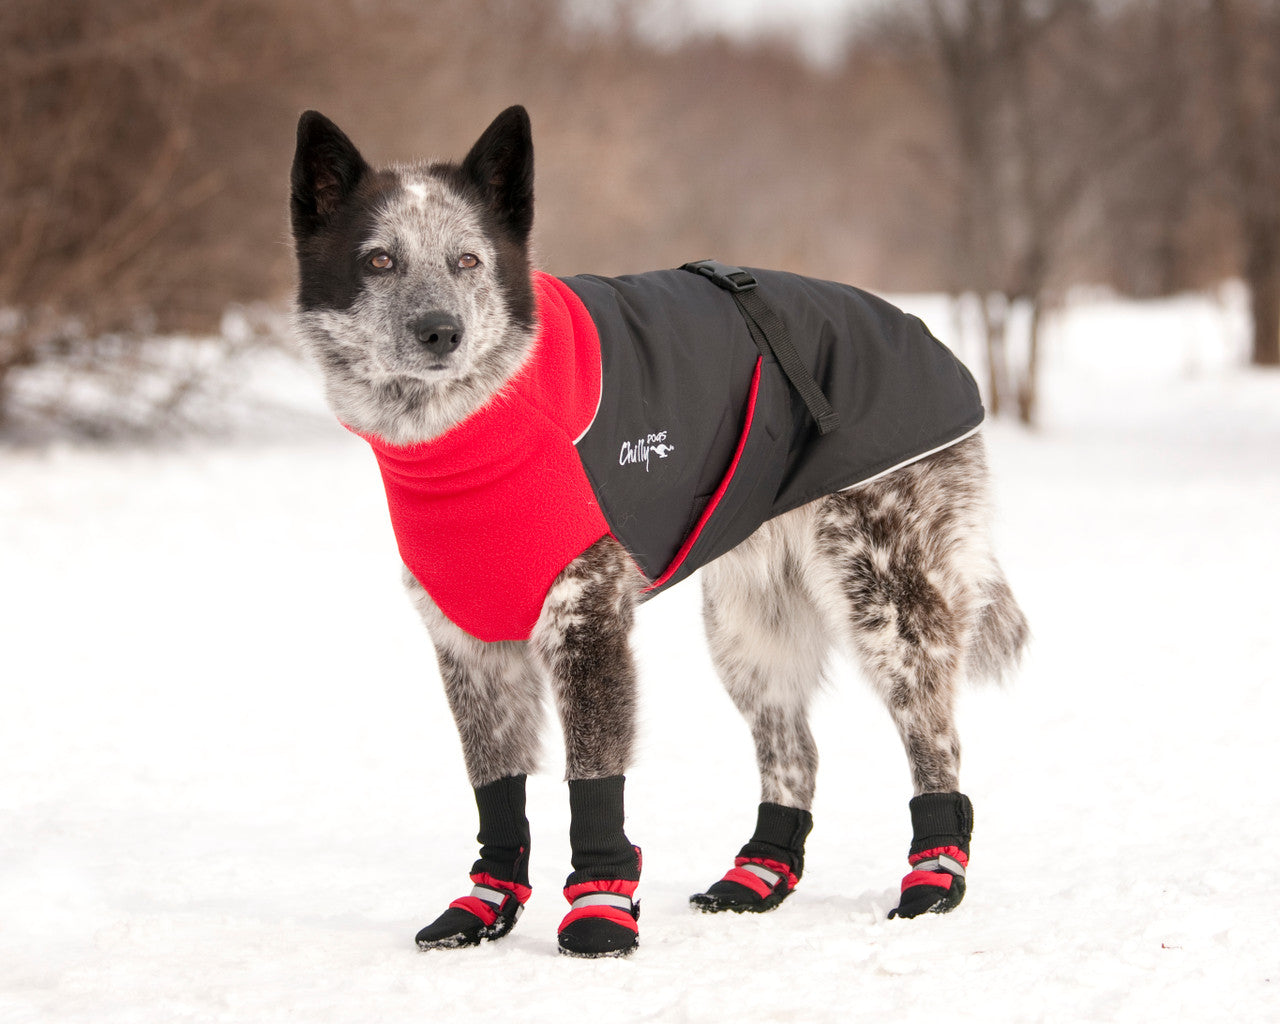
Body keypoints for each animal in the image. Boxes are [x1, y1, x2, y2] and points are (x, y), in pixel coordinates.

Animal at [290, 106, 1029, 962]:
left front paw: (600, 913)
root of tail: (928, 340)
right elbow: (497, 791)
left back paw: (934, 876)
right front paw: (484, 907)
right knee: (795, 754)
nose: (439, 330)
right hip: (747, 629)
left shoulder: (587, 623)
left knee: (937, 743)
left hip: (888, 605)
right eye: (379, 260)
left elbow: (593, 785)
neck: (477, 428)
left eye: (467, 259)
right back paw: (760, 874)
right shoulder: (467, 643)